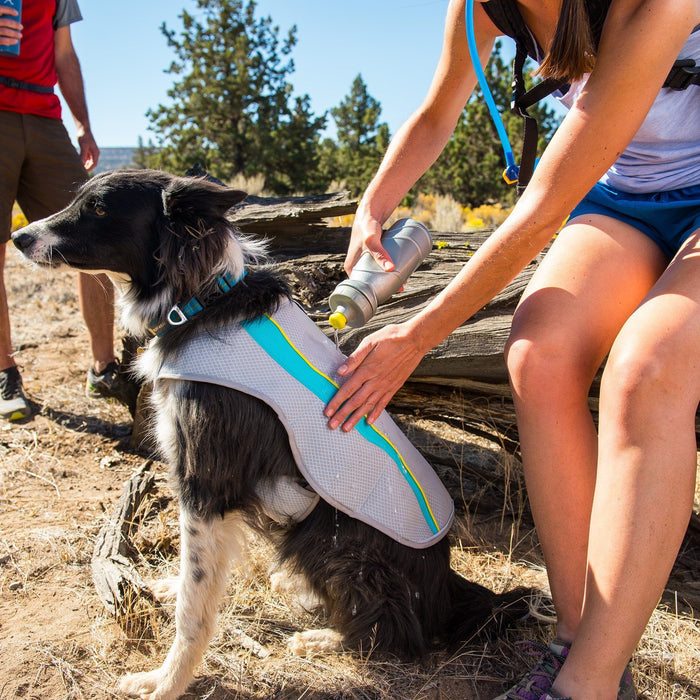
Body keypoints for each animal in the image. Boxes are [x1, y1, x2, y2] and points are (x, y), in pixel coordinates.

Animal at [12, 170, 532, 700]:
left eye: (98, 209)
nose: (19, 237)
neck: (200, 300)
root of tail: (446, 586)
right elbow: (198, 574)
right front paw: (172, 589)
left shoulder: (204, 483)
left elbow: (194, 605)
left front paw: (166, 681)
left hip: (334, 543)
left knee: (400, 633)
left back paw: (325, 636)